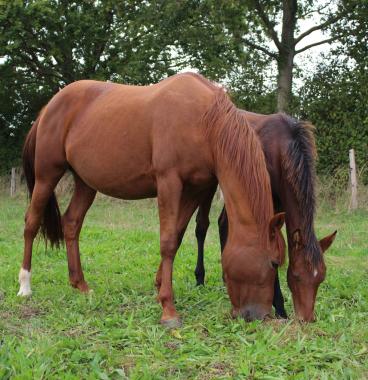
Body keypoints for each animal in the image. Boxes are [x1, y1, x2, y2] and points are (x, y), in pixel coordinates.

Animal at [18, 72, 288, 326]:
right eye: (274, 263)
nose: (261, 315)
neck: (204, 121)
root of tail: (49, 106)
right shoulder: (169, 182)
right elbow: (167, 242)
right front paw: (168, 309)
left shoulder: (195, 189)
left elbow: (177, 236)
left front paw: (159, 285)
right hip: (47, 175)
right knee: (31, 223)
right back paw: (25, 286)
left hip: (86, 183)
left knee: (72, 223)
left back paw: (80, 285)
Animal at [196, 108, 336, 322]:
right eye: (296, 276)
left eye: (321, 277)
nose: (306, 319)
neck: (280, 148)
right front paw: (280, 309)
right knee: (202, 226)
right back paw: (200, 279)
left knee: (223, 223)